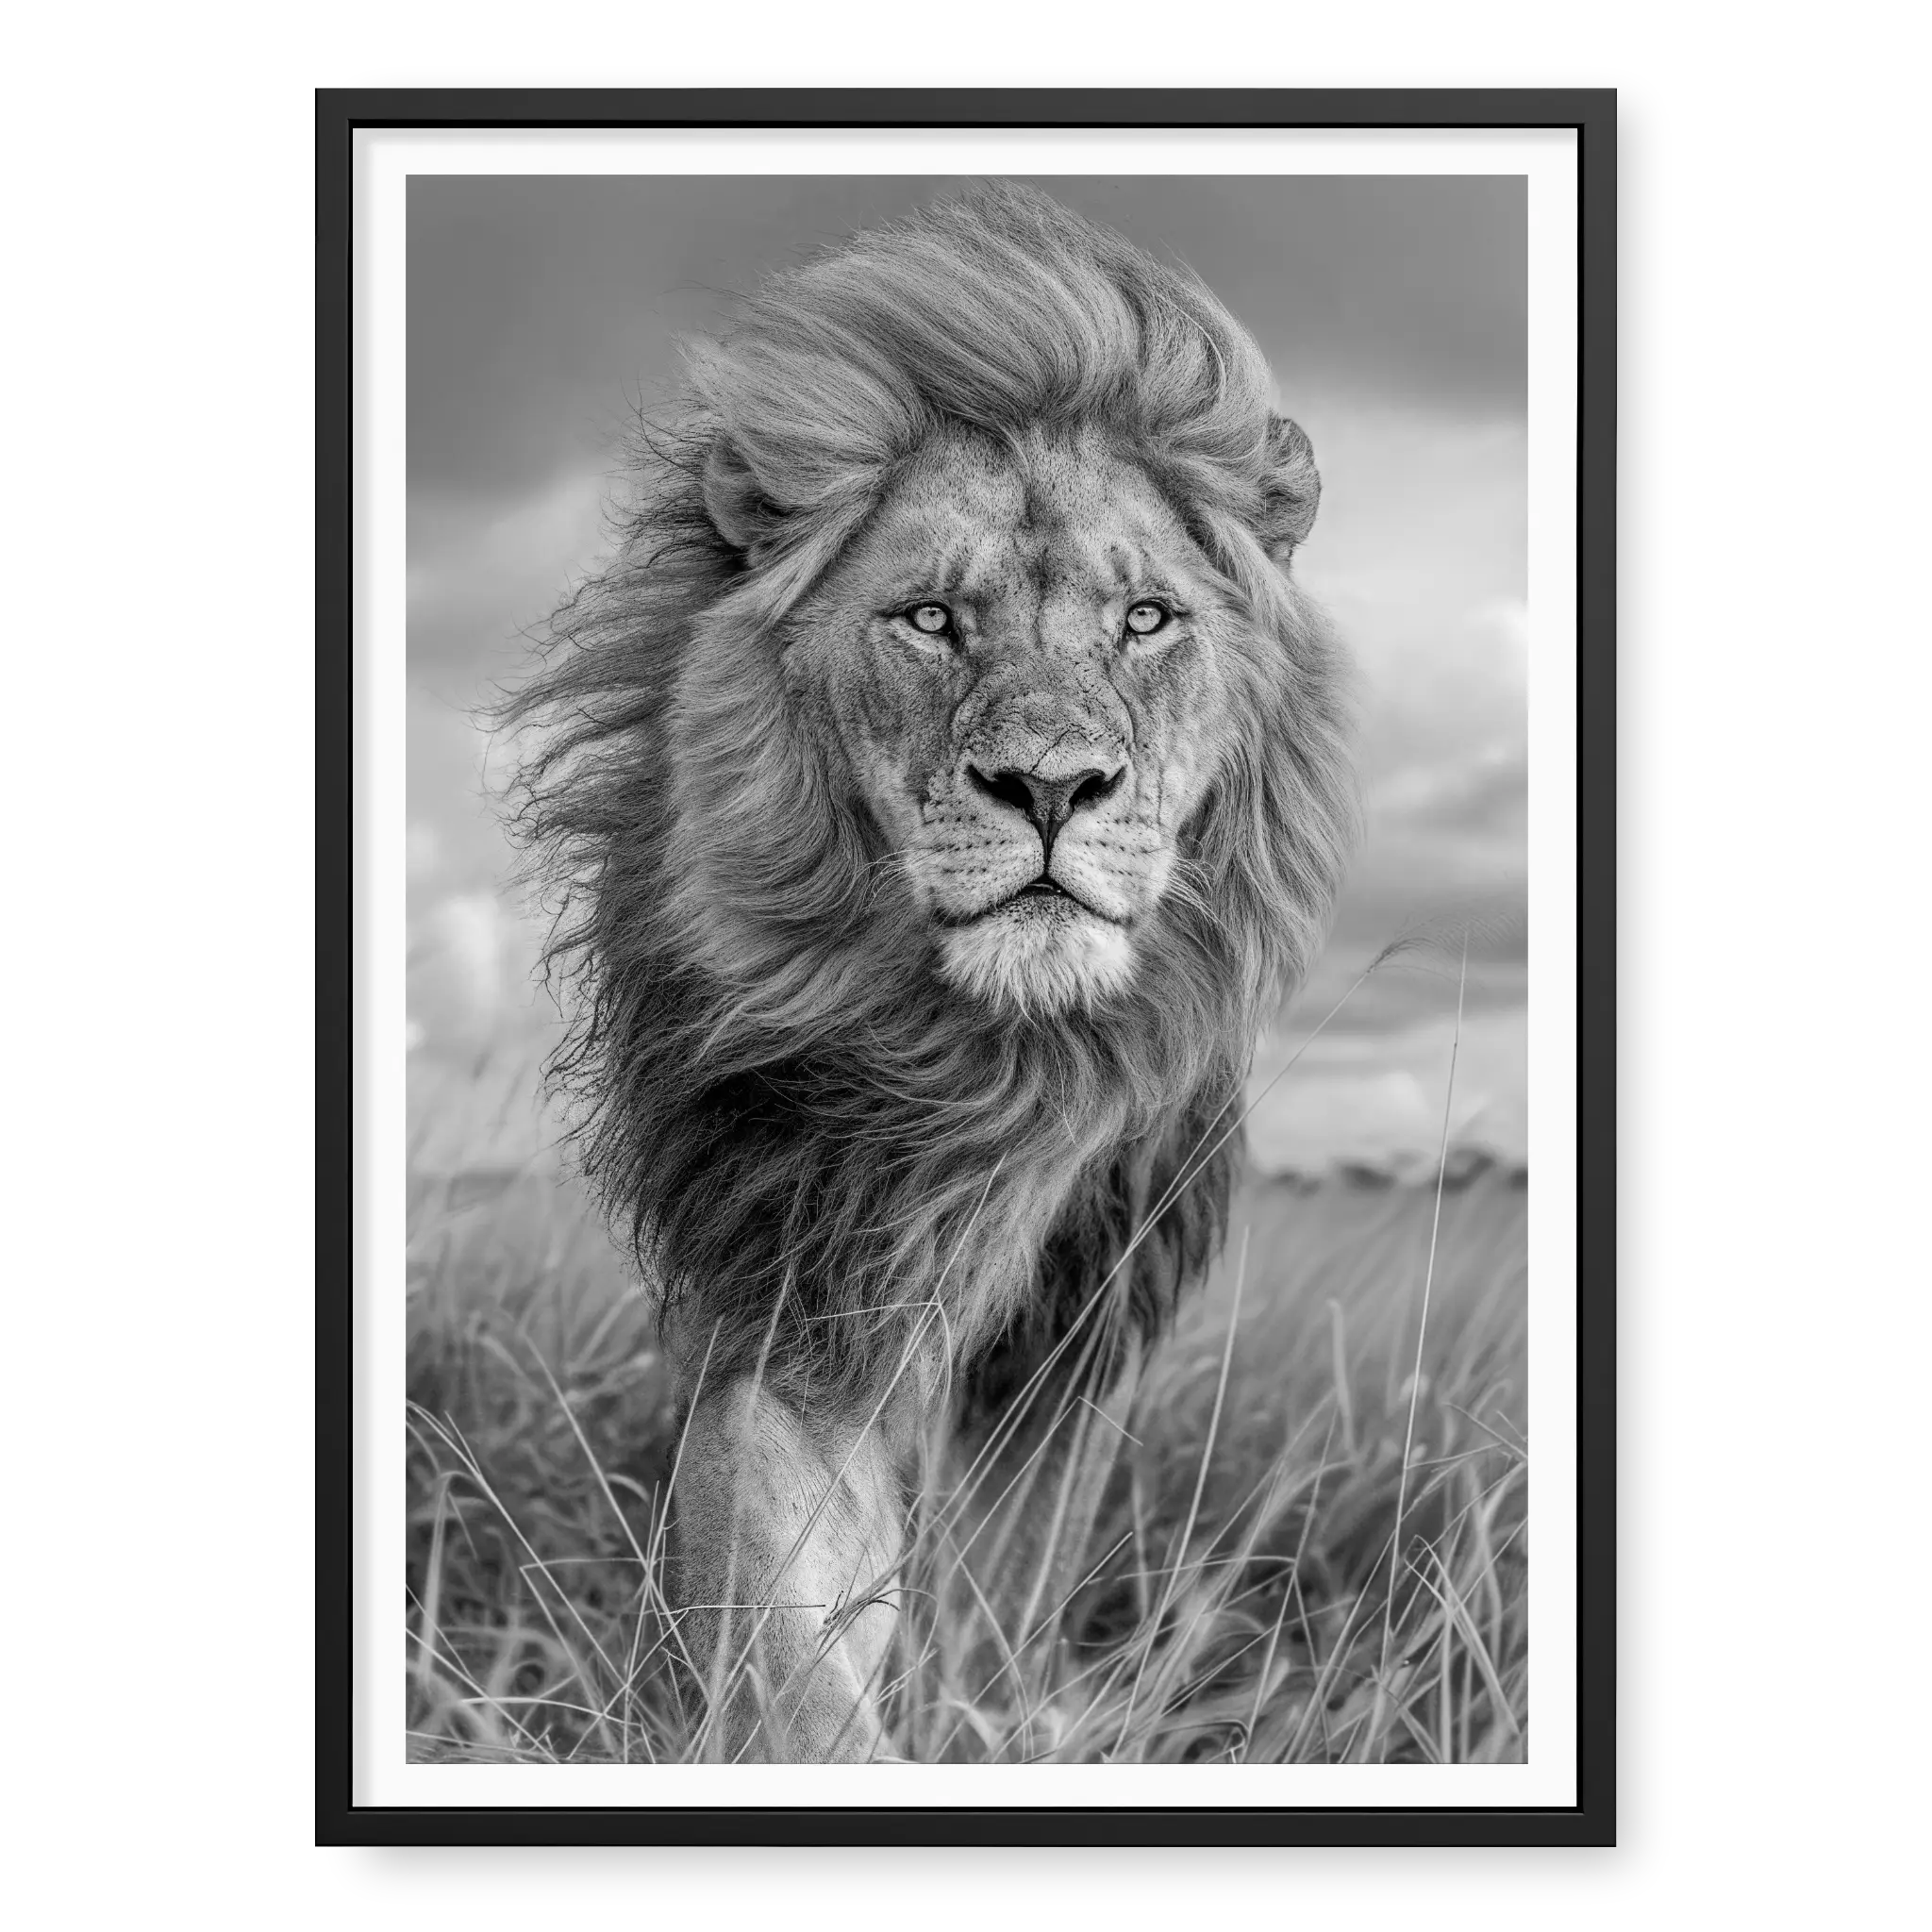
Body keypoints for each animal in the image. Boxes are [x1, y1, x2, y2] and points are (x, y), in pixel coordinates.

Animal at [501, 182, 1358, 1762]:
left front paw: (993, 1719)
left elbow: (999, 1586)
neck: (980, 1058)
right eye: (930, 620)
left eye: (1146, 620)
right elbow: (778, 1616)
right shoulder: (795, 1277)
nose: (1052, 786)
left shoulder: (1078, 1322)